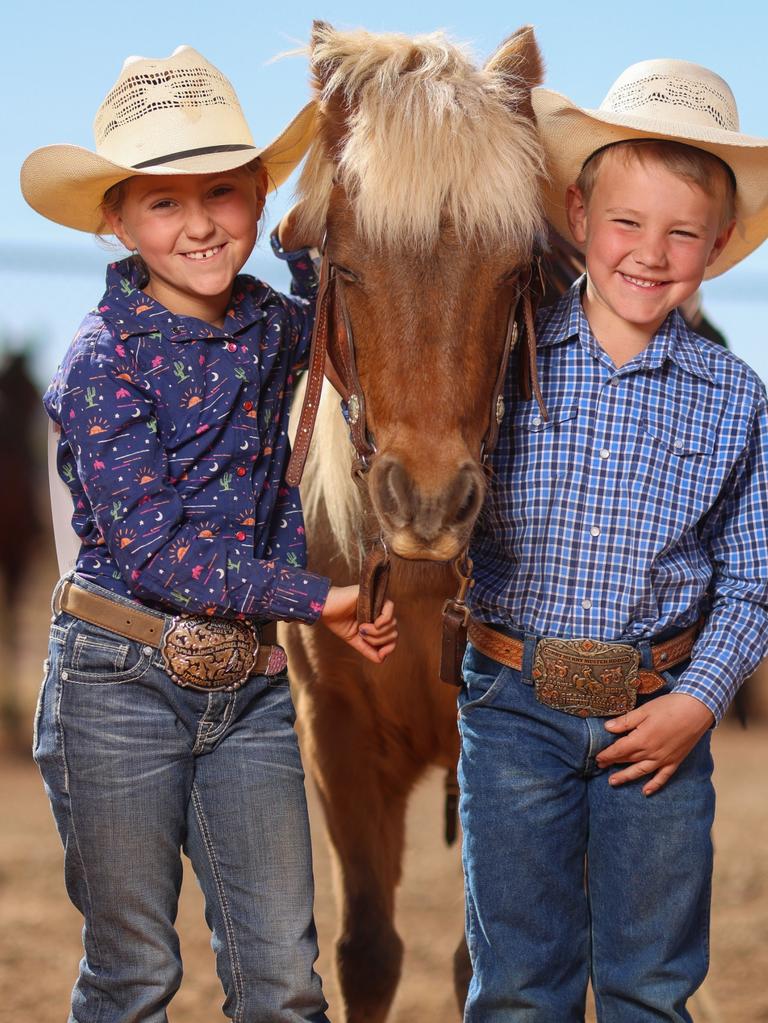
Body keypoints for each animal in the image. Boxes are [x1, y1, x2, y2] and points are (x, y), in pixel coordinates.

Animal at [280, 19, 548, 1018]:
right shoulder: (336, 739)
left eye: (515, 273)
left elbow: (482, 957)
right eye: (346, 264)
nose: (428, 502)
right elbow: (366, 949)